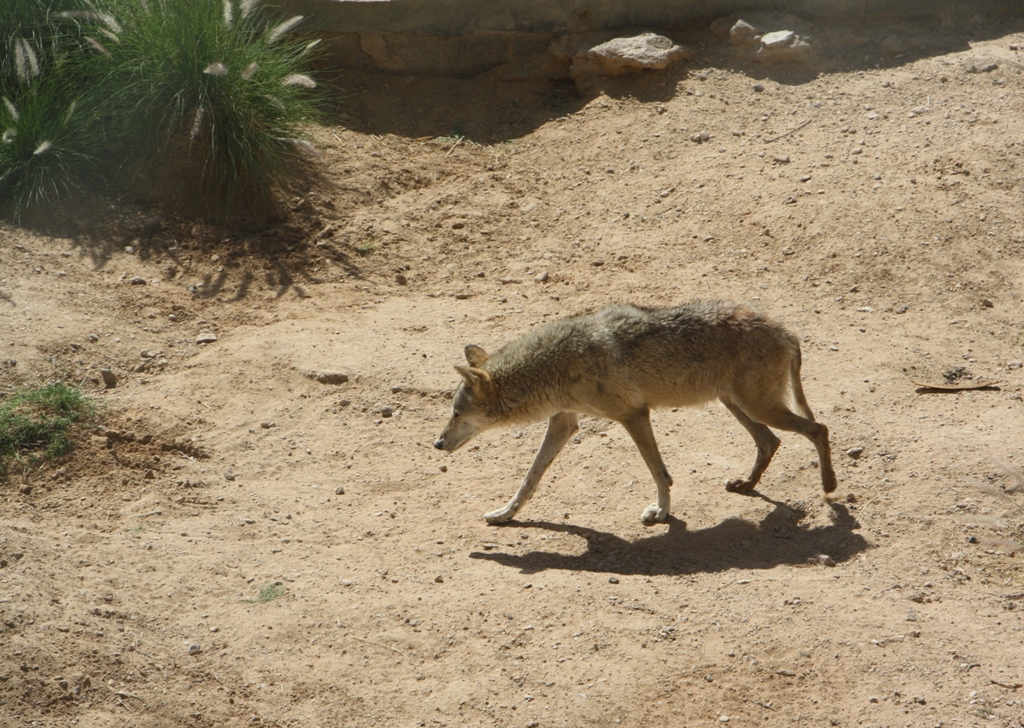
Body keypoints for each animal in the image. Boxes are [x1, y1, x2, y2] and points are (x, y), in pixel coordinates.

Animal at [436, 298, 835, 528]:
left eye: (456, 413)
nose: (437, 443)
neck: (558, 364)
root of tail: (788, 331)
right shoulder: (564, 422)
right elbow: (529, 478)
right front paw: (505, 514)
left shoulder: (634, 415)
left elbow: (659, 473)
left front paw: (661, 513)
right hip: (737, 405)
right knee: (771, 442)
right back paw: (747, 485)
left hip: (758, 407)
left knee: (819, 428)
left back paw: (829, 486)